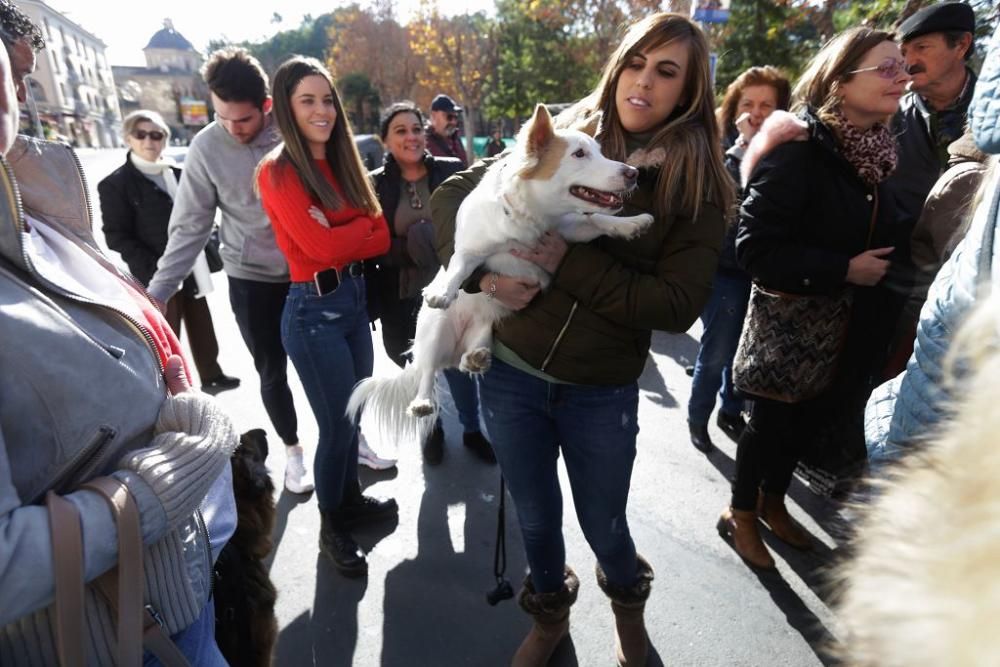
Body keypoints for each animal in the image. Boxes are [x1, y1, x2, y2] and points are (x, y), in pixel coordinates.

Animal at [348, 104, 652, 440]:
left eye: (599, 152)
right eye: (579, 154)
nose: (634, 173)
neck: (534, 217)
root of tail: (454, 349)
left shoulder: (571, 229)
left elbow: (597, 220)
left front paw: (633, 223)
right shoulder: (471, 249)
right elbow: (459, 267)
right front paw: (444, 290)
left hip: (485, 330)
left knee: (465, 361)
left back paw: (475, 359)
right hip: (435, 331)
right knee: (427, 371)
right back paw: (423, 401)